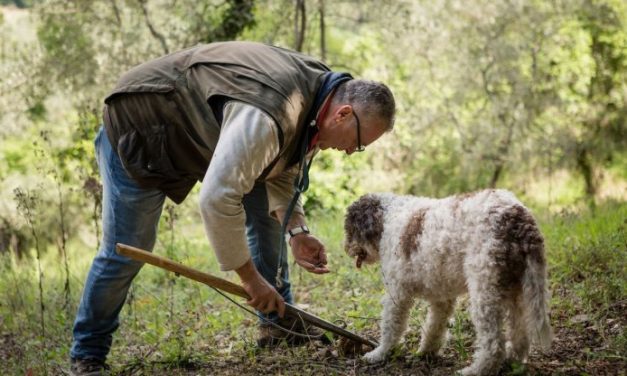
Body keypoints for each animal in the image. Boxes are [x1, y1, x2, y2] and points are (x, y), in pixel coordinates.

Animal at [344, 189, 556, 374]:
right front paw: (426, 352)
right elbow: (434, 327)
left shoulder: (397, 294)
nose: (346, 248)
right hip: (518, 291)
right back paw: (512, 364)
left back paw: (475, 371)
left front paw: (379, 354)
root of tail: (519, 218)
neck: (388, 217)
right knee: (520, 335)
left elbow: (391, 326)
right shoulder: (441, 299)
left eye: (349, 229)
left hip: (485, 292)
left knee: (494, 344)